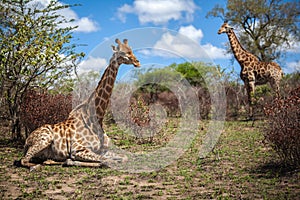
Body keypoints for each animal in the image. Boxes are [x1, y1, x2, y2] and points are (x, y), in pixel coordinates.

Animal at [14, 38, 140, 170]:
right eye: (122, 52)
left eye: (131, 50)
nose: (137, 62)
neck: (97, 118)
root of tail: (26, 141)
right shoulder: (78, 149)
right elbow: (105, 161)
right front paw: (71, 161)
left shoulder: (103, 150)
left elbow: (124, 158)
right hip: (44, 139)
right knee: (24, 160)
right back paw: (36, 166)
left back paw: (51, 161)